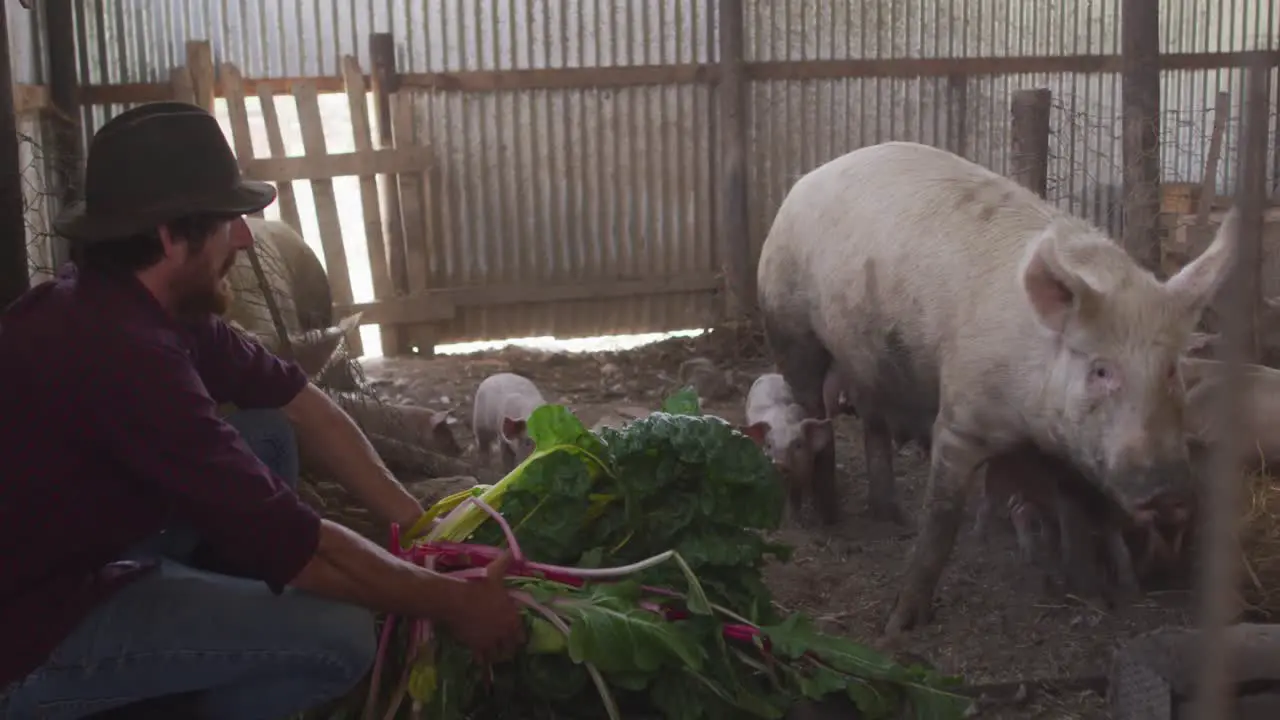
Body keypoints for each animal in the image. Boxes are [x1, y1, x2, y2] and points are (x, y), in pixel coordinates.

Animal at [747, 371, 834, 517]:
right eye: (769, 445)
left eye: (798, 445)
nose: (779, 462)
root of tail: (770, 374)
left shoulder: (805, 471)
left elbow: (796, 495)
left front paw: (798, 514)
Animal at [757, 140, 1239, 632]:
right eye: (1101, 371)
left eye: (1170, 370)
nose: (1170, 493)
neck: (1029, 419)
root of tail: (806, 180)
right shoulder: (960, 416)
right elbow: (941, 519)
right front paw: (900, 625)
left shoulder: (1065, 445)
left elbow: (1074, 512)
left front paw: (1091, 595)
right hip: (788, 326)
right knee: (816, 416)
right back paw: (826, 521)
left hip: (867, 359)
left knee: (873, 427)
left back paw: (889, 516)